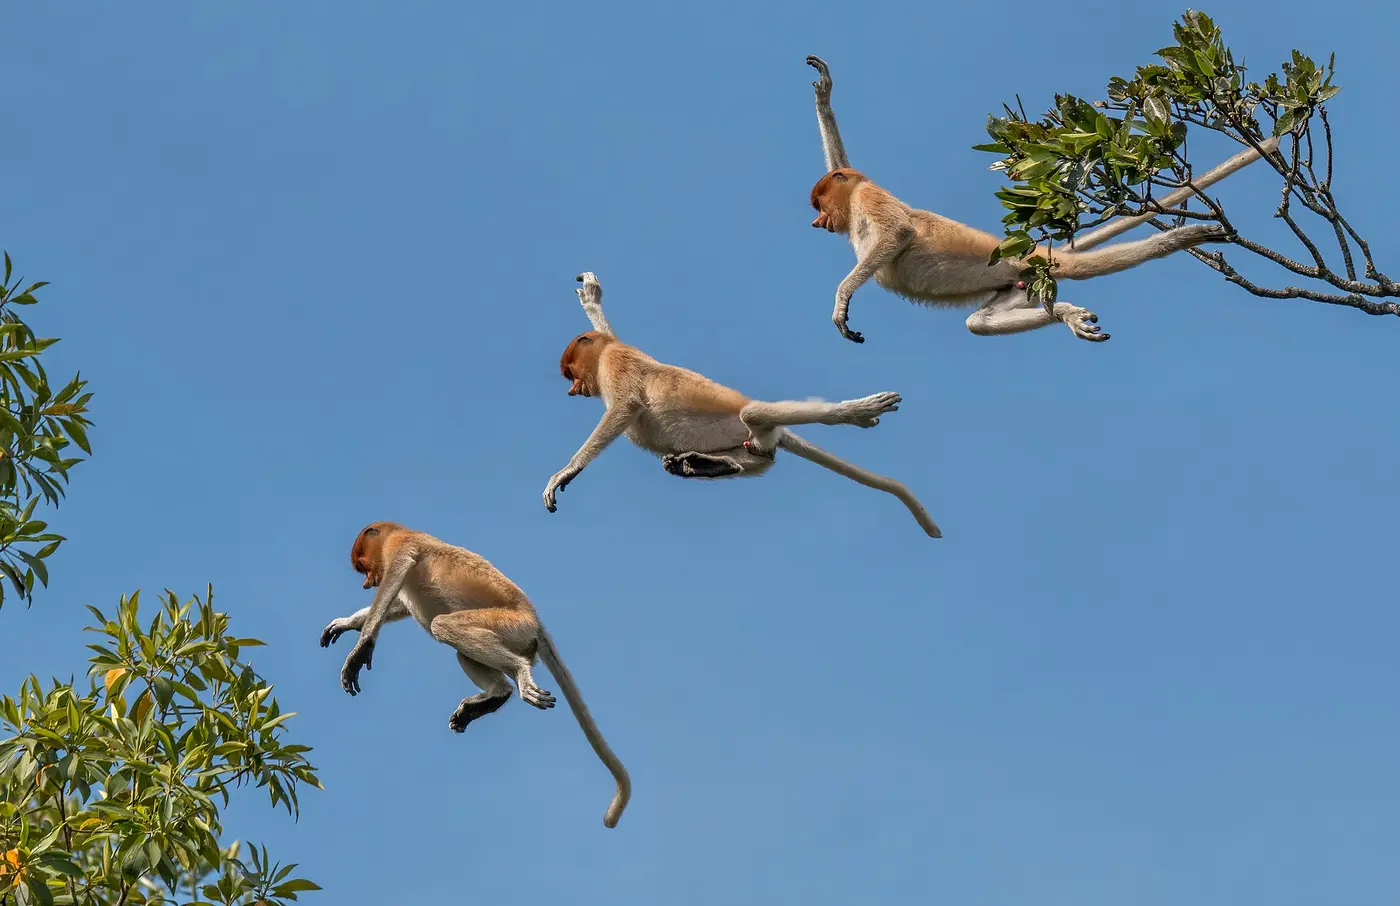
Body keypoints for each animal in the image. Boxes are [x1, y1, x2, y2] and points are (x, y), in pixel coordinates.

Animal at [320, 521, 631, 828]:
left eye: (363, 566)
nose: (366, 582)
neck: (398, 532)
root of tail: (536, 622)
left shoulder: (401, 547)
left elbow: (393, 583)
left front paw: (360, 650)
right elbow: (398, 605)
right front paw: (344, 623)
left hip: (511, 626)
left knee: (442, 626)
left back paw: (519, 675)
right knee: (462, 653)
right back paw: (495, 696)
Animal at [544, 272, 942, 538]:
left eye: (571, 372)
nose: (574, 390)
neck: (604, 355)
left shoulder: (616, 363)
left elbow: (623, 408)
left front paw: (564, 474)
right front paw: (592, 297)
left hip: (745, 421)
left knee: (755, 414)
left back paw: (859, 412)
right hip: (750, 444)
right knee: (761, 457)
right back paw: (702, 465)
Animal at [805, 55, 1234, 345]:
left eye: (820, 205)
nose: (817, 223)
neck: (853, 199)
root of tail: (1028, 253)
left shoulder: (867, 195)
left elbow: (898, 233)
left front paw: (841, 302)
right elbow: (844, 162)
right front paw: (824, 95)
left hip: (1027, 266)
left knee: (1080, 269)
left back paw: (1182, 238)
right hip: (1017, 283)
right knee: (979, 324)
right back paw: (1067, 314)